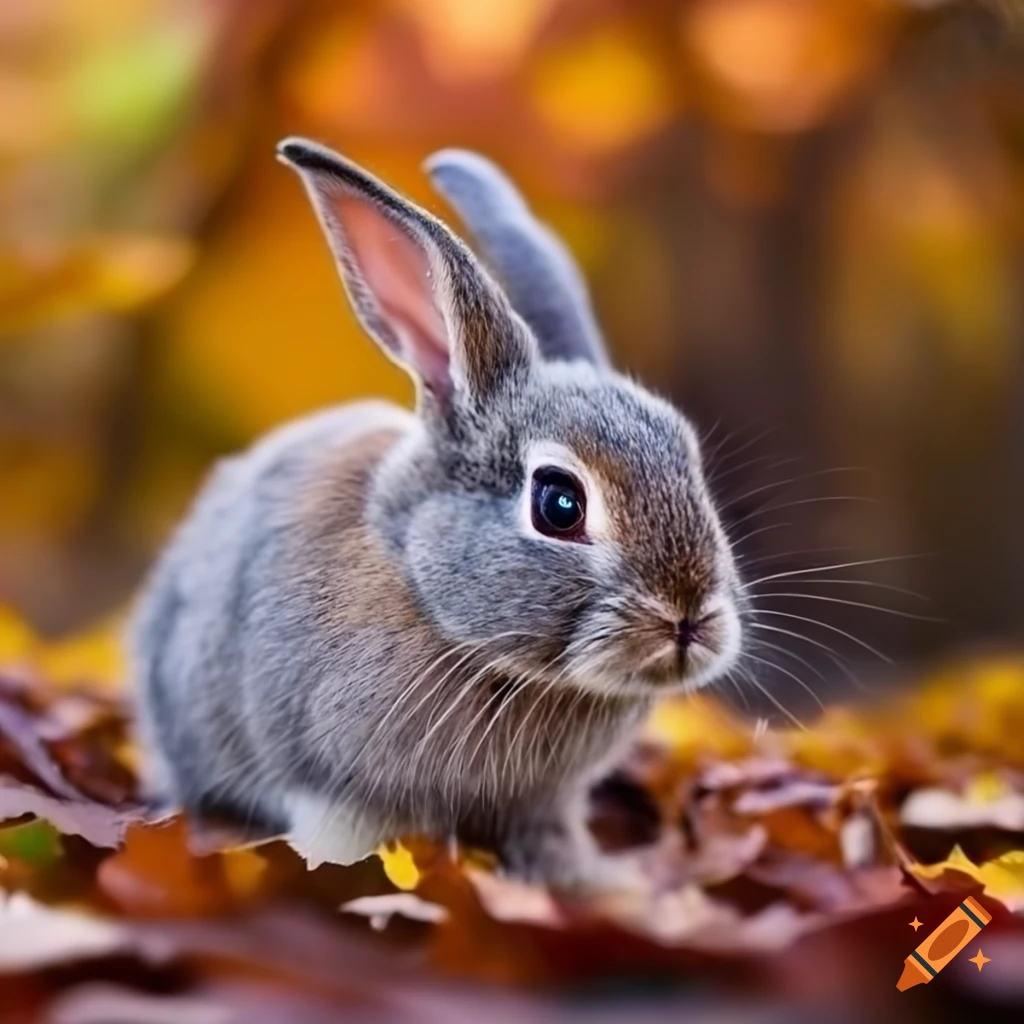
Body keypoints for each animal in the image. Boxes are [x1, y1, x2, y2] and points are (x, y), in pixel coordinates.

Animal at [129, 137, 744, 885]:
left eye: (689, 458)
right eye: (560, 504)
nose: (688, 618)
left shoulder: (544, 804)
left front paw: (597, 886)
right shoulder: (330, 784)